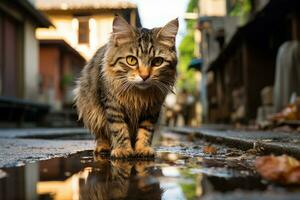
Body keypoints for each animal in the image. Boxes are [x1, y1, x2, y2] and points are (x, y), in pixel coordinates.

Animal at [74, 16, 178, 158]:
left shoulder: (152, 109)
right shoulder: (113, 106)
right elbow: (119, 129)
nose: (144, 76)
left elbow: (145, 131)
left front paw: (142, 149)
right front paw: (123, 150)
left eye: (157, 62)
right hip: (90, 110)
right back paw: (103, 148)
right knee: (101, 135)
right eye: (131, 60)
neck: (137, 94)